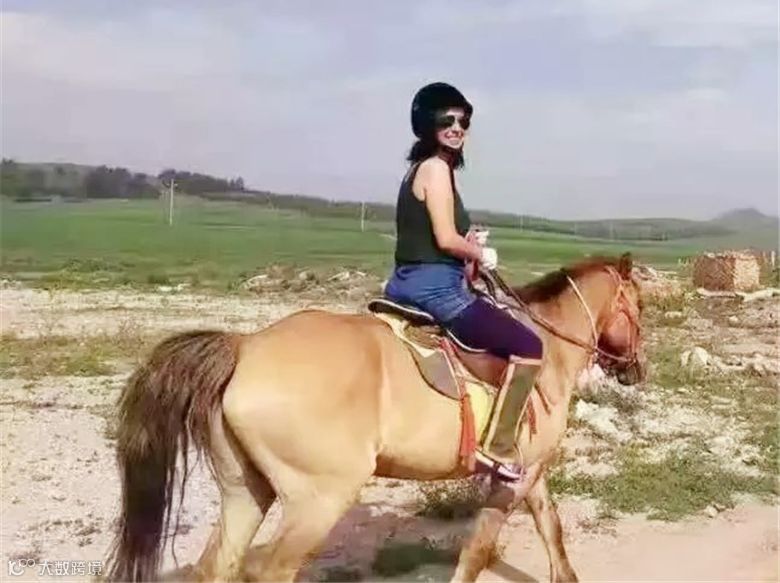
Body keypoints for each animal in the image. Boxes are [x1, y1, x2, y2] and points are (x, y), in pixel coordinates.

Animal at [106, 253, 645, 582]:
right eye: (638, 306)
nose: (636, 369)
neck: (548, 352)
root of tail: (245, 347)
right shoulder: (516, 476)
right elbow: (478, 549)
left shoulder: (529, 472)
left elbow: (550, 527)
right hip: (318, 500)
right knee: (271, 570)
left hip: (246, 491)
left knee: (218, 565)